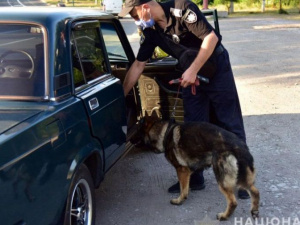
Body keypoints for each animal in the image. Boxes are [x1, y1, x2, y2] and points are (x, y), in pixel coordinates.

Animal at [131, 112, 260, 220]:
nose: (129, 140)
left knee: (233, 202)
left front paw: (179, 200)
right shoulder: (188, 171)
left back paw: (224, 216)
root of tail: (239, 145)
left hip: (222, 178)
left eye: (136, 130)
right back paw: (254, 210)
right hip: (242, 178)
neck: (164, 132)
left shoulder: (182, 170)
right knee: (255, 191)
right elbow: (186, 184)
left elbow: (183, 189)